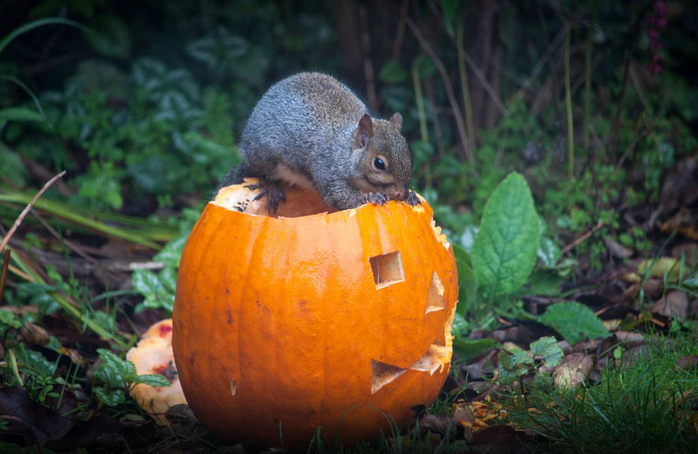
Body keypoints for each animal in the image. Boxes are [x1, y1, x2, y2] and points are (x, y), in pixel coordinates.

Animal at [218, 72, 416, 212]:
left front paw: (411, 197)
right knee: (261, 172)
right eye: (379, 163)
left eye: (409, 155)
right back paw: (269, 185)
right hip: (265, 157)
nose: (400, 194)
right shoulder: (328, 171)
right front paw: (371, 198)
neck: (345, 150)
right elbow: (338, 195)